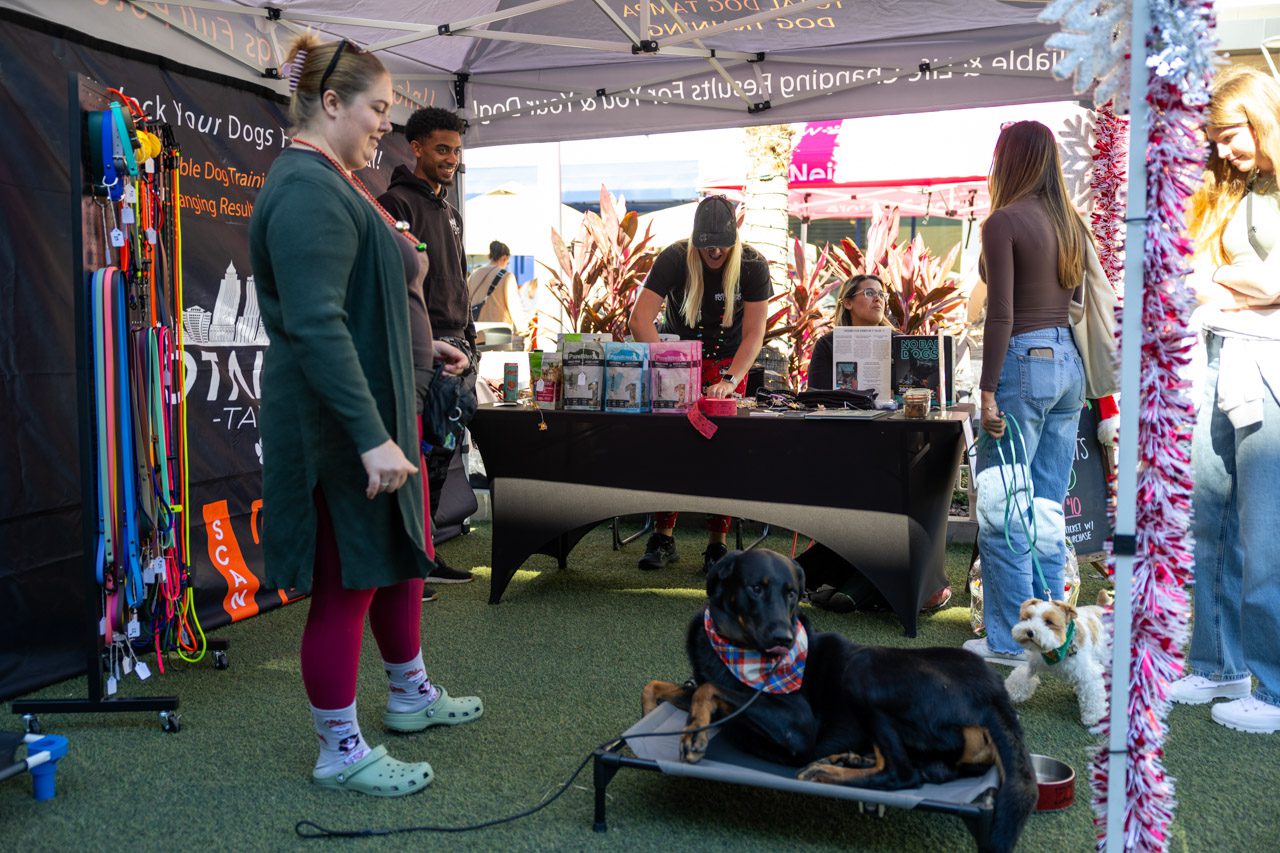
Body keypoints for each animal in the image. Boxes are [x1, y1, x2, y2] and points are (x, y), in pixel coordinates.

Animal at [642, 549, 1037, 853]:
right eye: (755, 588)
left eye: (792, 593)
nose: (784, 640)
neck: (734, 648)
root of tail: (994, 692)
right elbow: (658, 685)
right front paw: (653, 720)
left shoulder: (798, 726)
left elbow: (708, 690)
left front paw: (694, 733)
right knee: (925, 770)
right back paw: (848, 759)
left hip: (863, 668)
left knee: (903, 775)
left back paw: (826, 771)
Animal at [1004, 592, 1112, 727]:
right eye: (1027, 617)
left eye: (1049, 622)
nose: (1029, 631)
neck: (1056, 649)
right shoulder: (1031, 664)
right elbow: (1020, 677)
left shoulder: (1090, 674)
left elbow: (1093, 695)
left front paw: (1094, 718)